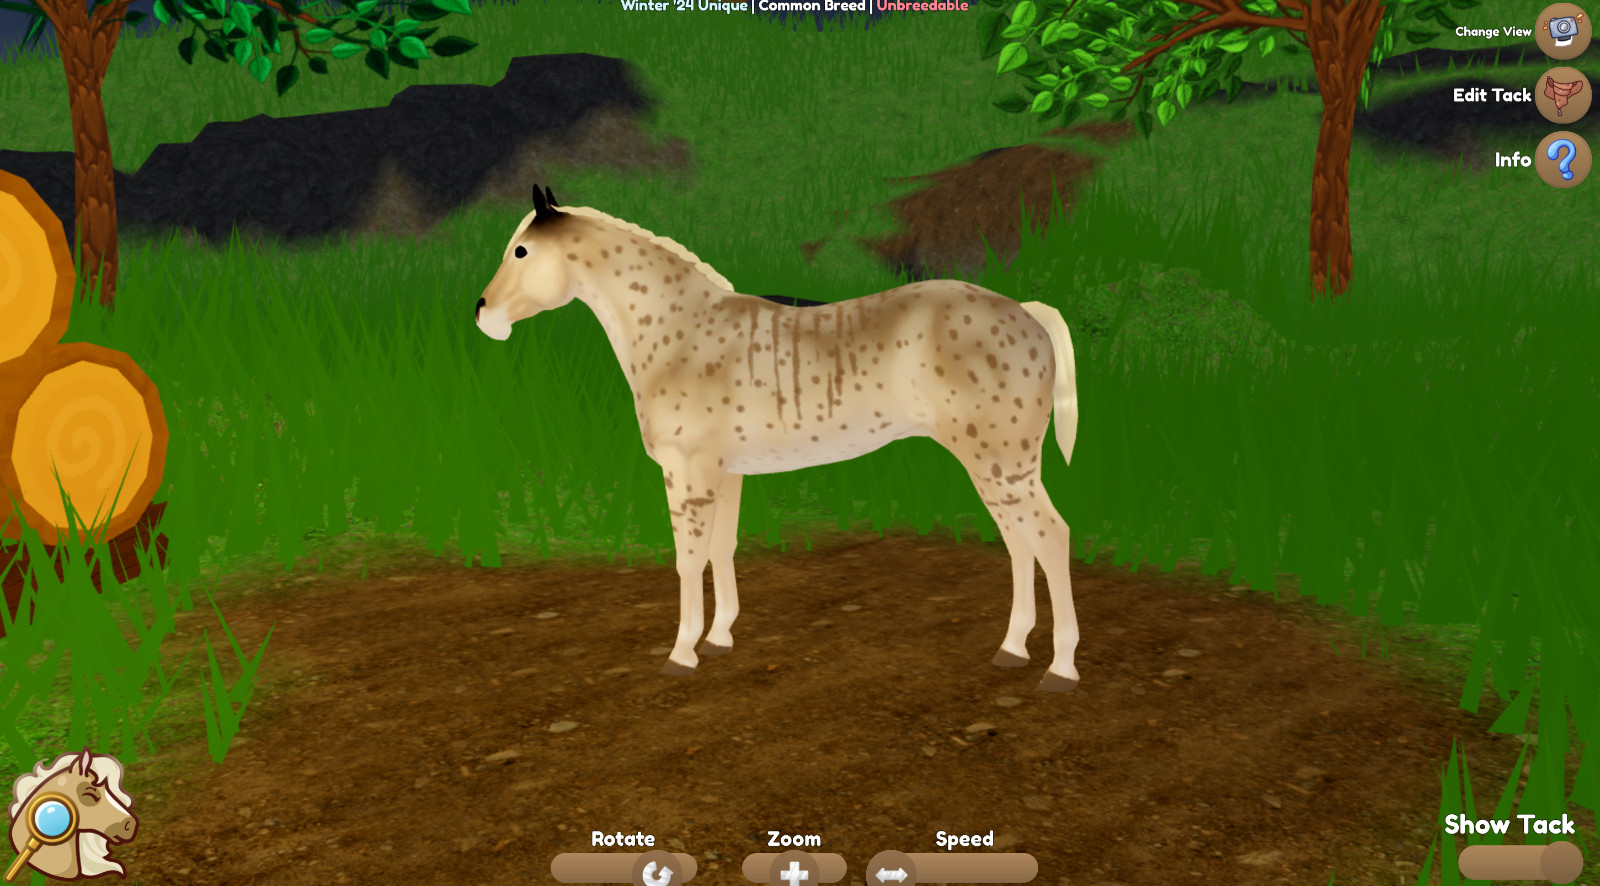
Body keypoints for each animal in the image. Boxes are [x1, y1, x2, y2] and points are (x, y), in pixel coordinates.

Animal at [475, 186, 1083, 691]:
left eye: (521, 251)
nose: (484, 316)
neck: (680, 334)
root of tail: (1027, 313)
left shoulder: (688, 474)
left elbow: (688, 560)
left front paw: (681, 653)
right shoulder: (725, 474)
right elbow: (721, 548)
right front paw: (718, 639)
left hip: (999, 461)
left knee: (1051, 537)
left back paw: (1060, 668)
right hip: (999, 466)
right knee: (1020, 543)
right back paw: (1011, 648)